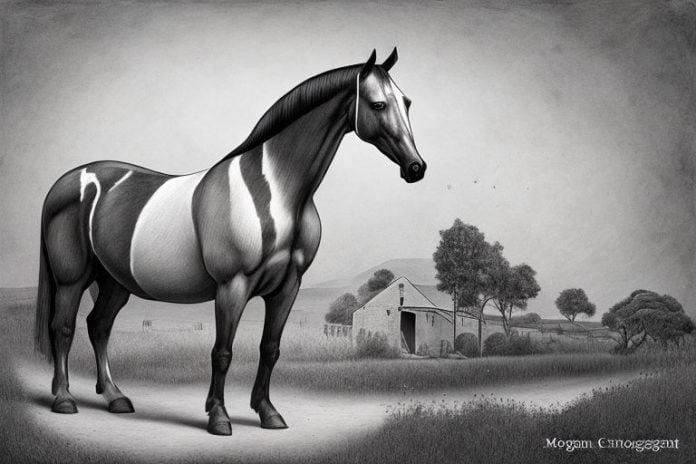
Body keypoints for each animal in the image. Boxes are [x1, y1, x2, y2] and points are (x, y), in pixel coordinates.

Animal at [34, 48, 426, 436]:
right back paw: (64, 399)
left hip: (115, 282)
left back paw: (115, 397)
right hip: (72, 280)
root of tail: (66, 183)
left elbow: (270, 348)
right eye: (377, 104)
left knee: (99, 326)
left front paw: (268, 413)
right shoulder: (232, 285)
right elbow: (222, 352)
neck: (274, 193)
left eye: (406, 102)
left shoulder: (287, 287)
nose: (416, 168)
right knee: (64, 327)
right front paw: (219, 417)